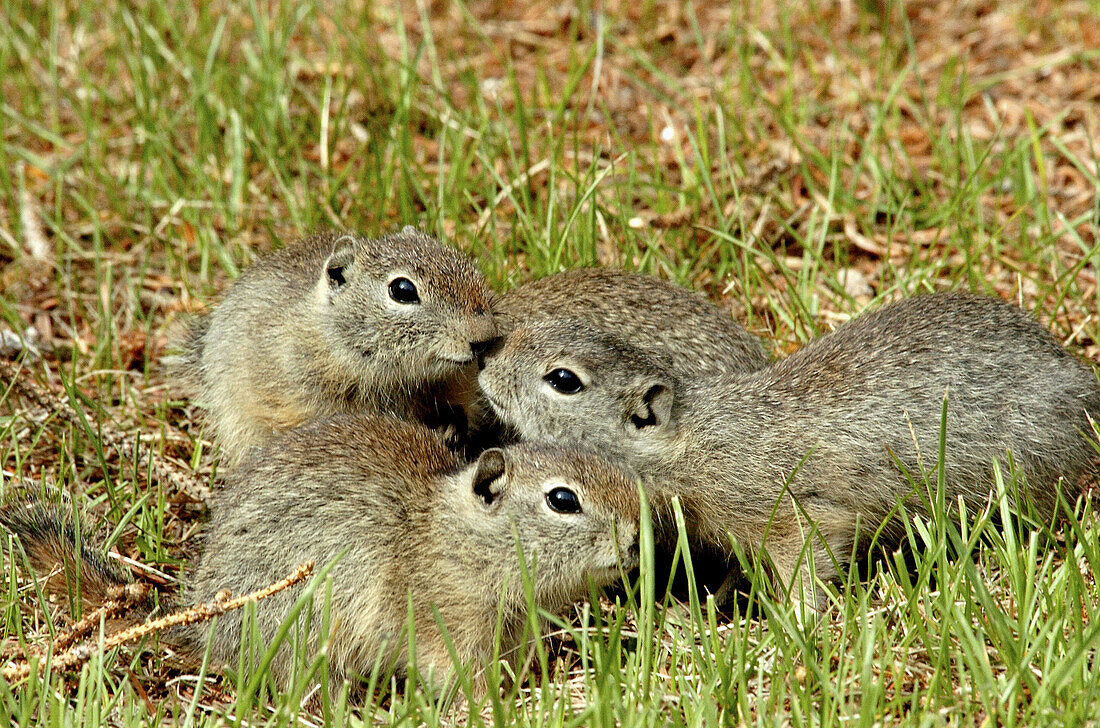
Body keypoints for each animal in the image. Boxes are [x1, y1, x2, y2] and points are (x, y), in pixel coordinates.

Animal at [0, 415, 642, 695]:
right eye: (563, 500)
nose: (637, 541)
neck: (457, 537)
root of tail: (202, 626)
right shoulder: (448, 627)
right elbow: (460, 676)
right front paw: (491, 706)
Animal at [479, 290, 1100, 602]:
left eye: (563, 380)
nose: (485, 362)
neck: (690, 438)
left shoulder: (791, 516)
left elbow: (807, 561)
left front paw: (797, 625)